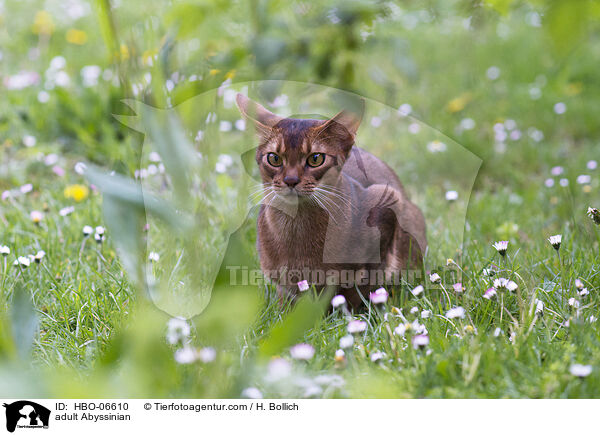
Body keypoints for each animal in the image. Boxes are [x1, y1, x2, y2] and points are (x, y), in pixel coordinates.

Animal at [236, 94, 426, 308]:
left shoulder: (387, 202)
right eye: (274, 159)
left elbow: (353, 291)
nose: (290, 180)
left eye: (316, 159)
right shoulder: (281, 281)